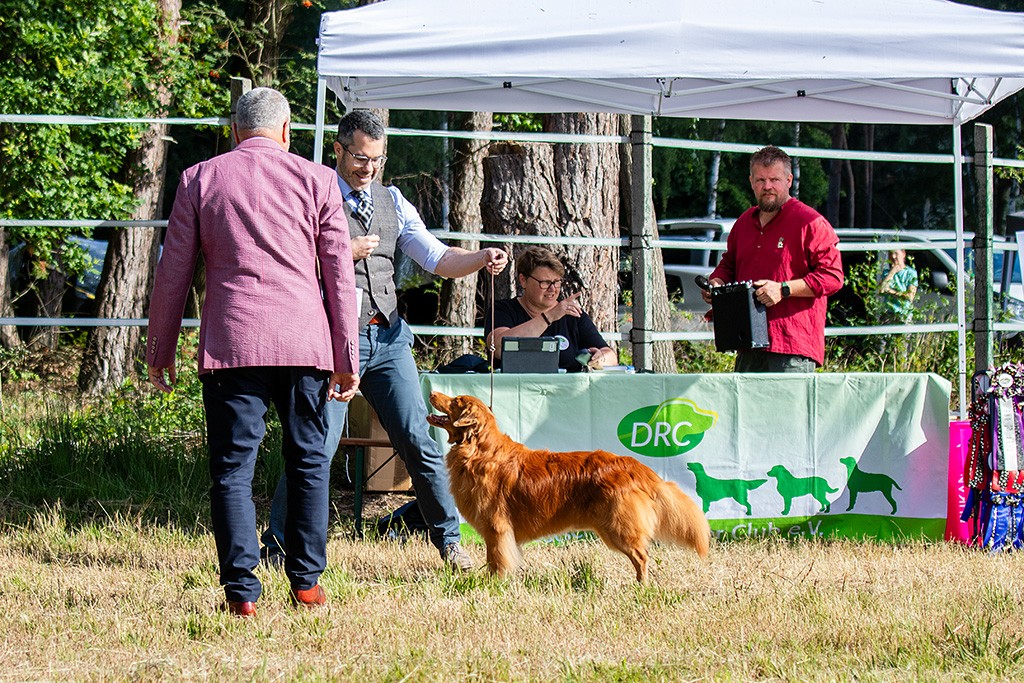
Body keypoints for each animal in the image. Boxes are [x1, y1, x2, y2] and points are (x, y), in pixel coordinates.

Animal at [428, 393, 708, 581]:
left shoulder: (497, 527)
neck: (478, 450)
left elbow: (496, 559)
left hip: (617, 526)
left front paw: (493, 583)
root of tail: (634, 466)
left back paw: (642, 585)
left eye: (455, 401)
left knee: (642, 557)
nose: (432, 393)